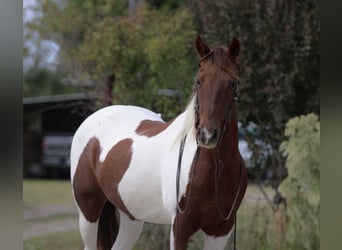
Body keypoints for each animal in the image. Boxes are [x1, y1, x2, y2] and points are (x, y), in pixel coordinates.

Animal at [71, 35, 247, 250]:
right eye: (199, 81)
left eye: (232, 83)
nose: (207, 135)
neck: (214, 170)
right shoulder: (180, 227)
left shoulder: (221, 231)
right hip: (89, 211)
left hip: (131, 217)